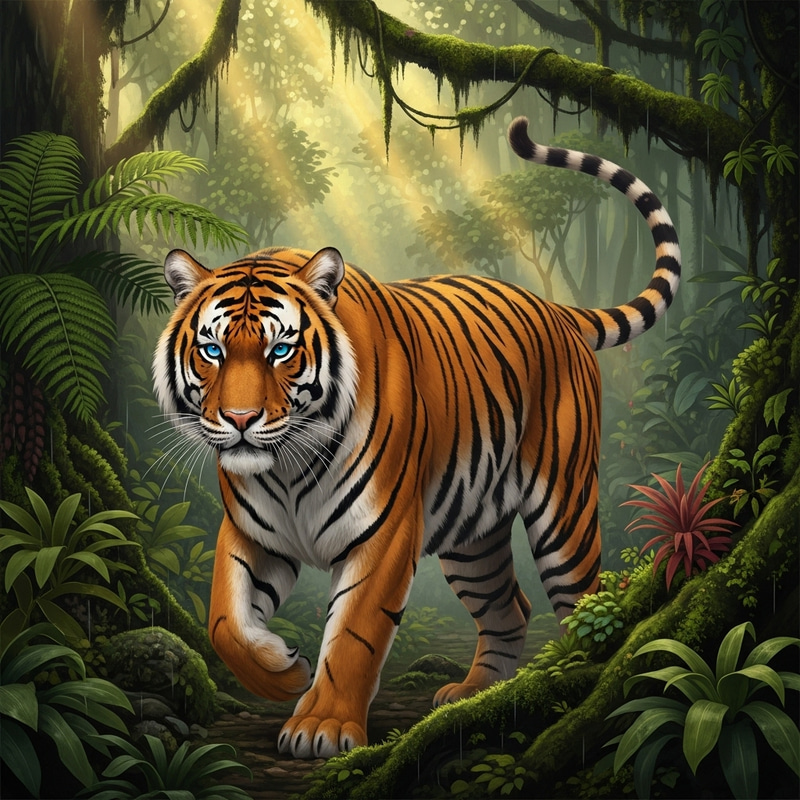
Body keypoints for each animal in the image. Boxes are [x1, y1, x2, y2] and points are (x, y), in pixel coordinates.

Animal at [152, 116, 680, 759]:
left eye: (280, 350)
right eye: (212, 350)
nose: (240, 418)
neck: (287, 468)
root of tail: (556, 309)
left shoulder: (383, 536)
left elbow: (353, 633)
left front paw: (322, 724)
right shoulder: (253, 534)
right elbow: (223, 622)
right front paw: (283, 669)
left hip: (564, 512)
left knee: (585, 602)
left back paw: (576, 678)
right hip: (472, 538)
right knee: (510, 609)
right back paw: (473, 697)